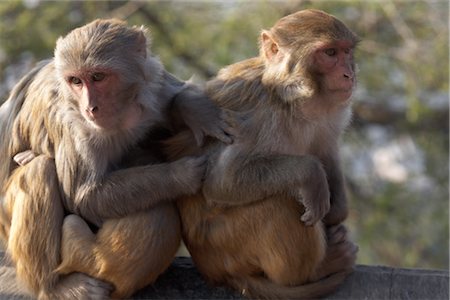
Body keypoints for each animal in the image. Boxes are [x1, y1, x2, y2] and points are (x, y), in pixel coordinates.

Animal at [162, 8, 358, 298]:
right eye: (330, 53)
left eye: (346, 52)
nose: (349, 75)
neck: (290, 98)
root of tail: (215, 272)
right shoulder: (256, 117)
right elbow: (223, 181)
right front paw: (311, 174)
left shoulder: (329, 116)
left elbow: (325, 148)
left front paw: (338, 212)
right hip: (226, 242)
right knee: (279, 201)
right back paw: (316, 270)